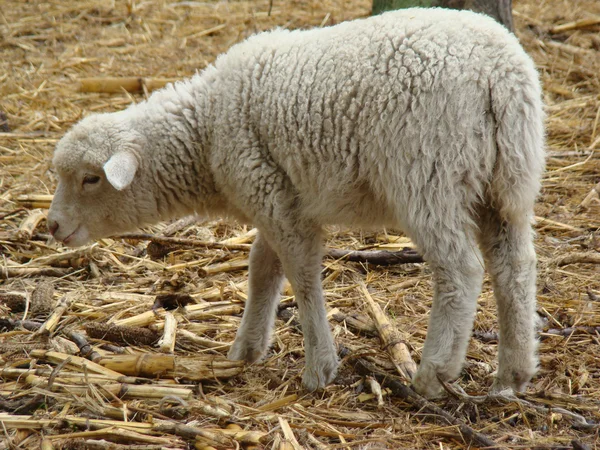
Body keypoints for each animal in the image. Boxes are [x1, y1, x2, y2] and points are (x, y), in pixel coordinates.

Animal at [47, 7, 548, 398]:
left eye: (90, 178)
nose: (51, 226)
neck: (205, 131)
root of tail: (500, 74)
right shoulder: (275, 198)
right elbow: (262, 270)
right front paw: (246, 349)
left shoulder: (269, 190)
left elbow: (302, 276)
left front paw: (319, 368)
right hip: (507, 182)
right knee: (515, 266)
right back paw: (513, 373)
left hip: (428, 172)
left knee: (460, 270)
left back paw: (432, 374)